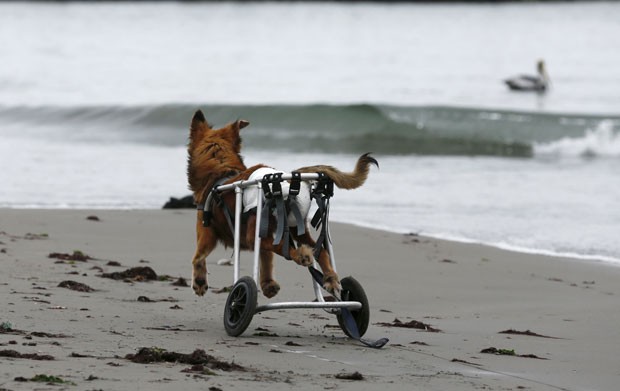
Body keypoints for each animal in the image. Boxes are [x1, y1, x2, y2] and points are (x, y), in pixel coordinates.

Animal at [185, 110, 378, 300]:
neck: (221, 169)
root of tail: (291, 179)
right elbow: (266, 259)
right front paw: (268, 284)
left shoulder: (206, 231)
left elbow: (197, 257)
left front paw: (199, 282)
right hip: (295, 228)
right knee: (319, 250)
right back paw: (331, 278)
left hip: (255, 231)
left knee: (283, 247)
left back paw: (302, 256)